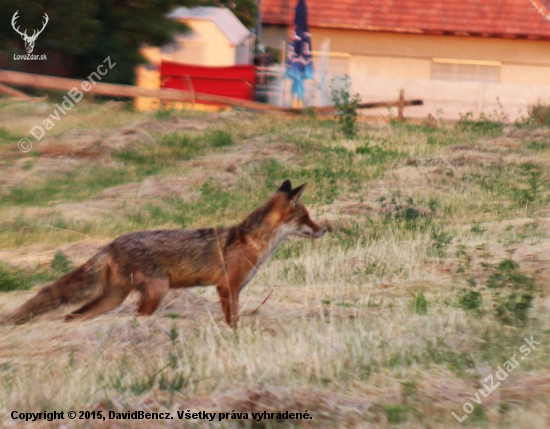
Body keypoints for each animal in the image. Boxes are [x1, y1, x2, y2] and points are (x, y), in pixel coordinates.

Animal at [2, 179, 326, 326]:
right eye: (306, 217)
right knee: (134, 315)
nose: (325, 230)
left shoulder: (232, 290)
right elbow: (232, 321)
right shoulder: (227, 288)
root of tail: (111, 243)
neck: (252, 242)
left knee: (73, 315)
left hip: (112, 298)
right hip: (157, 291)